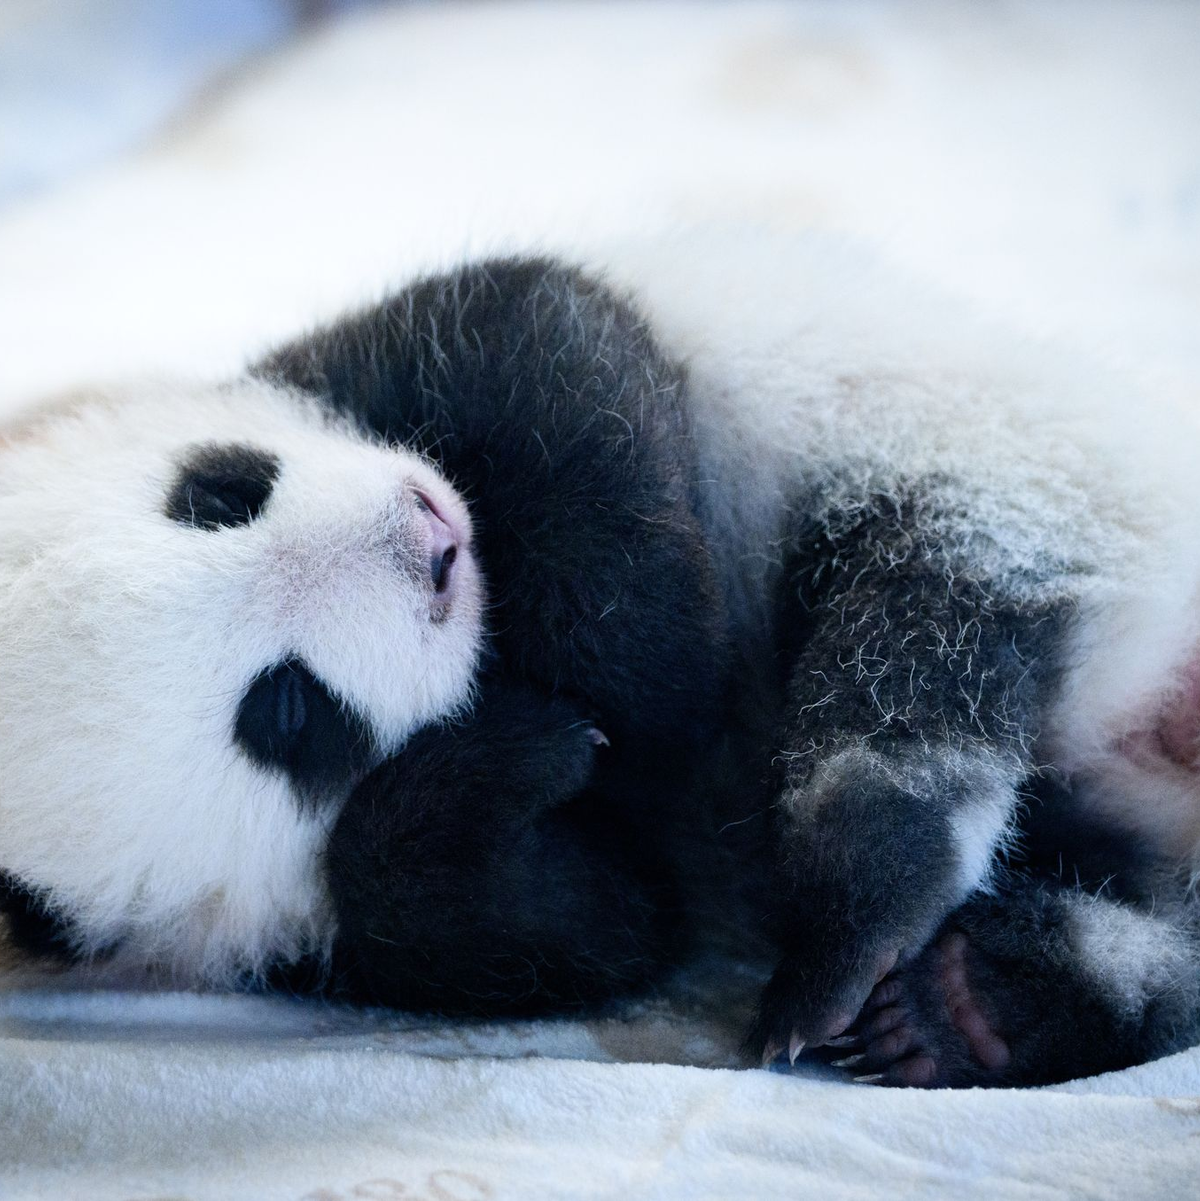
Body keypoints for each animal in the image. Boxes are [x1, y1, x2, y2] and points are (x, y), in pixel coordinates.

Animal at [1, 231, 1198, 1089]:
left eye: (218, 494)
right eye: (286, 713)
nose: (428, 546)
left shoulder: (385, 355)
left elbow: (550, 347)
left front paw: (647, 670)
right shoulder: (340, 942)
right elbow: (586, 919)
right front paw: (507, 766)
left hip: (1013, 457)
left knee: (917, 645)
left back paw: (874, 943)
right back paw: (959, 998)